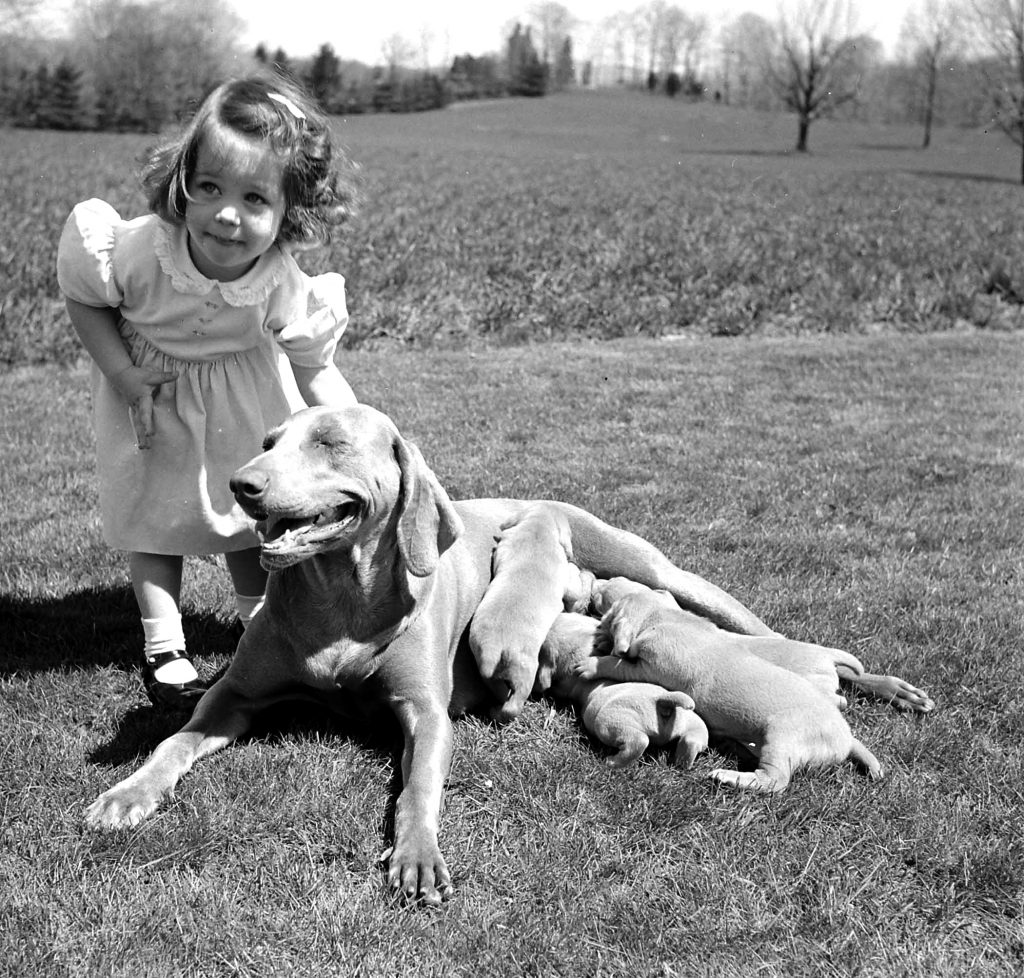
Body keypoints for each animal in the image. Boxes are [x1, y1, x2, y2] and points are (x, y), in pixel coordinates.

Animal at [540, 610, 708, 774]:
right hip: (693, 723)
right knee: (691, 740)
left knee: (638, 741)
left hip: (611, 721)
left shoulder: (567, 684)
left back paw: (611, 762)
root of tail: (663, 702)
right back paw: (679, 762)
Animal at [577, 581, 880, 794]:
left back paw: (726, 776)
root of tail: (845, 740)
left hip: (784, 737)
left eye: (610, 615)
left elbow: (618, 663)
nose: (599, 626)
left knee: (775, 780)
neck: (663, 616)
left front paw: (588, 664)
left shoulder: (652, 667)